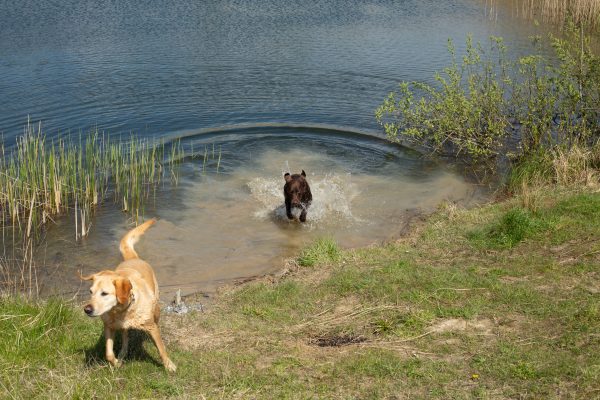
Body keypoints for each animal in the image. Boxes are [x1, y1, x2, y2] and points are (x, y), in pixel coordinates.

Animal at [78, 219, 176, 372]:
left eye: (104, 293)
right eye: (90, 292)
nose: (87, 309)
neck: (121, 311)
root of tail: (133, 258)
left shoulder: (151, 327)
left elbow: (161, 348)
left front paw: (169, 365)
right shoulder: (109, 327)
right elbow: (108, 353)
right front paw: (116, 362)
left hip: (156, 308)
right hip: (123, 327)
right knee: (125, 338)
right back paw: (122, 353)